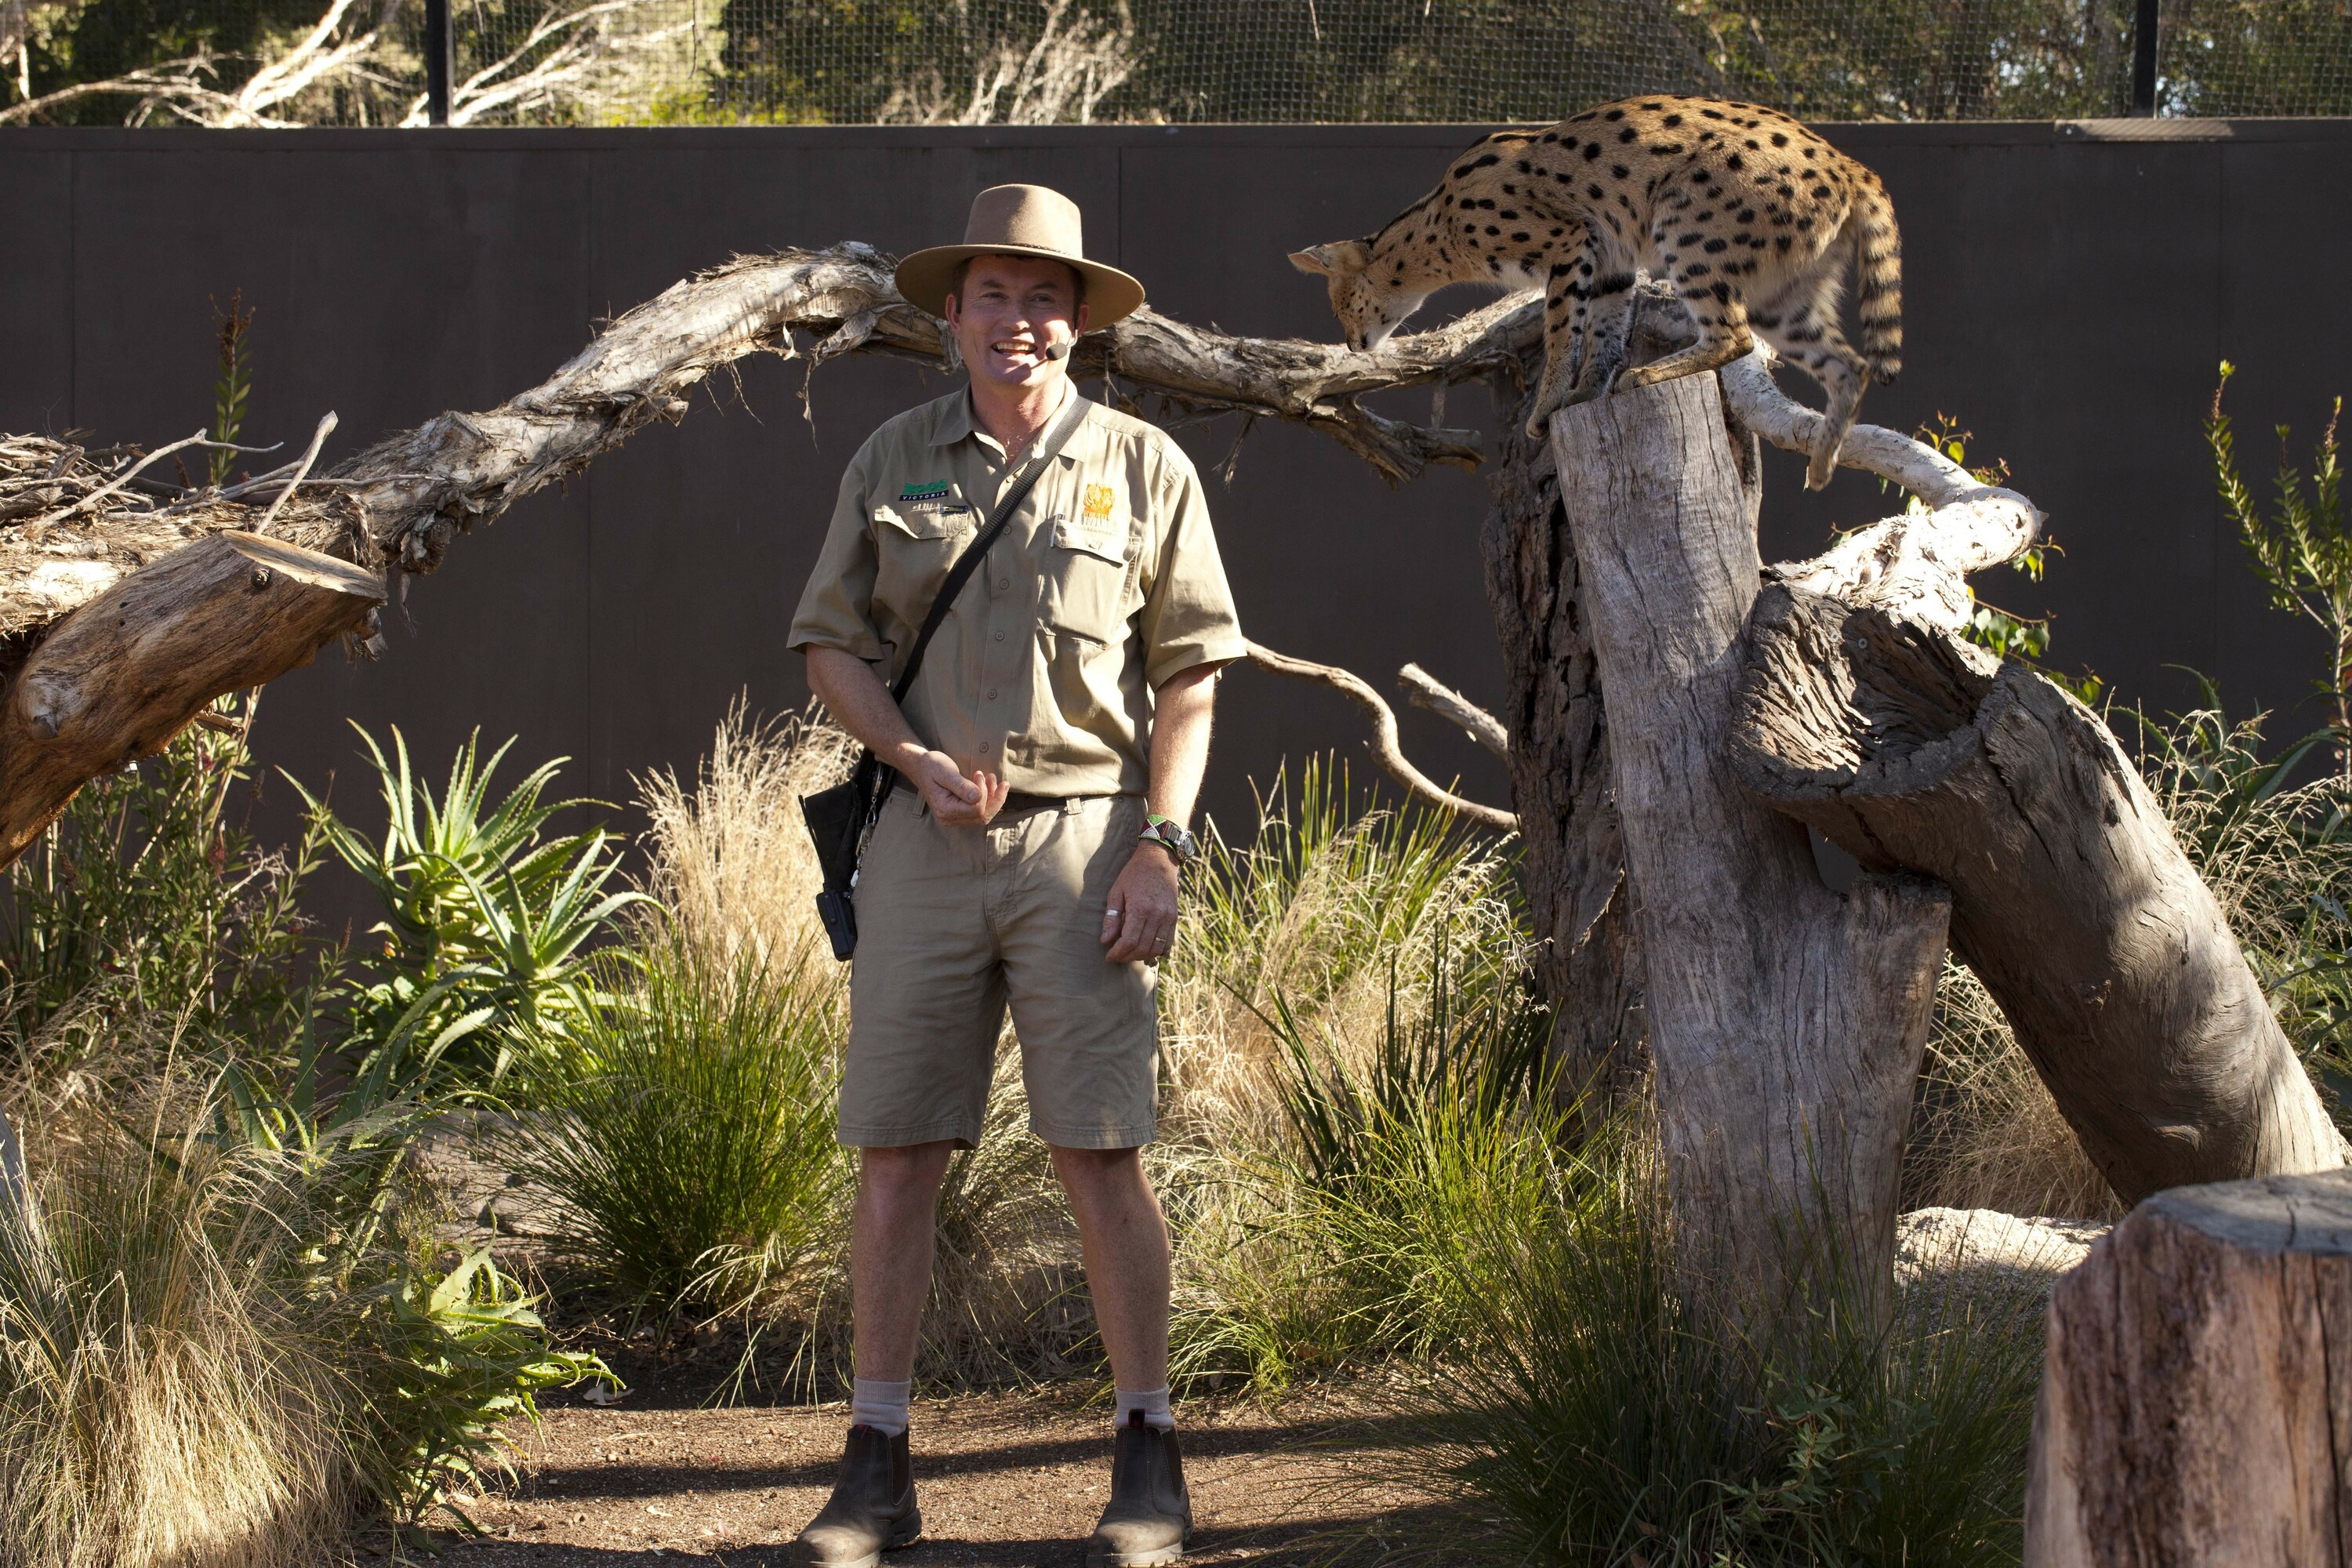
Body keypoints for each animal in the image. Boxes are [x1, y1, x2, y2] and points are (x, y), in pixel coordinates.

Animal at [1298, 96, 1900, 486]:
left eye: (1340, 304)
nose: (1351, 344)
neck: (1438, 226)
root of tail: (1853, 166)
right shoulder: (1610, 261)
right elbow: (1605, 337)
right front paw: (1585, 396)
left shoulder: (1567, 243)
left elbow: (1564, 335)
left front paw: (1546, 410)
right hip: (1783, 293)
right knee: (1849, 365)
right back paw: (1822, 463)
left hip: (1687, 227)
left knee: (1734, 336)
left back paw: (1655, 374)